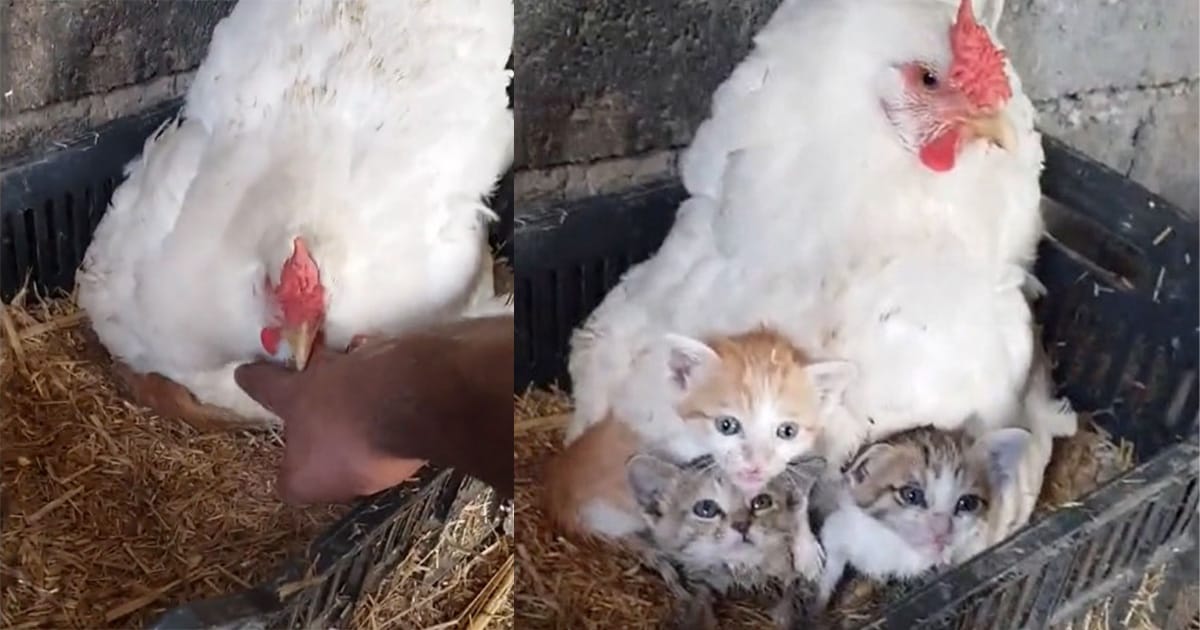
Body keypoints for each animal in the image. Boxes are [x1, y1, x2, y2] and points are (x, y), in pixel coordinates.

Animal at [816, 422, 1032, 609]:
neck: (893, 542)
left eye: (967, 503)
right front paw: (820, 601)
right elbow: (832, 564)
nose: (942, 531)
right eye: (911, 495)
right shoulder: (840, 527)